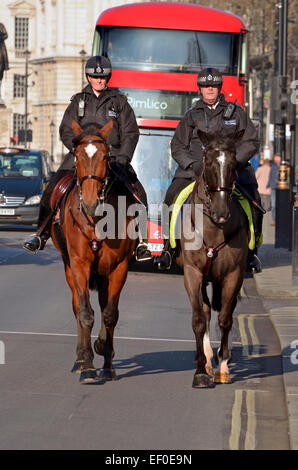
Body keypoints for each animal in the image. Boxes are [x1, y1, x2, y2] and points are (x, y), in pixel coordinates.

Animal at [51, 119, 135, 384]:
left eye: (106, 156)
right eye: (77, 156)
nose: (88, 203)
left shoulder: (119, 267)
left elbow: (110, 314)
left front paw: (107, 363)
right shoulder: (79, 263)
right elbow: (85, 313)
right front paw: (88, 366)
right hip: (70, 266)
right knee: (78, 306)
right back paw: (80, 360)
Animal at [176, 129, 248, 390]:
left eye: (234, 163)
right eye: (207, 162)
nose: (221, 212)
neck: (214, 228)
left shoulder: (233, 275)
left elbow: (225, 319)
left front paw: (223, 367)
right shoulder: (192, 272)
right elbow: (199, 319)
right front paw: (200, 371)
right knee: (206, 311)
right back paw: (207, 360)